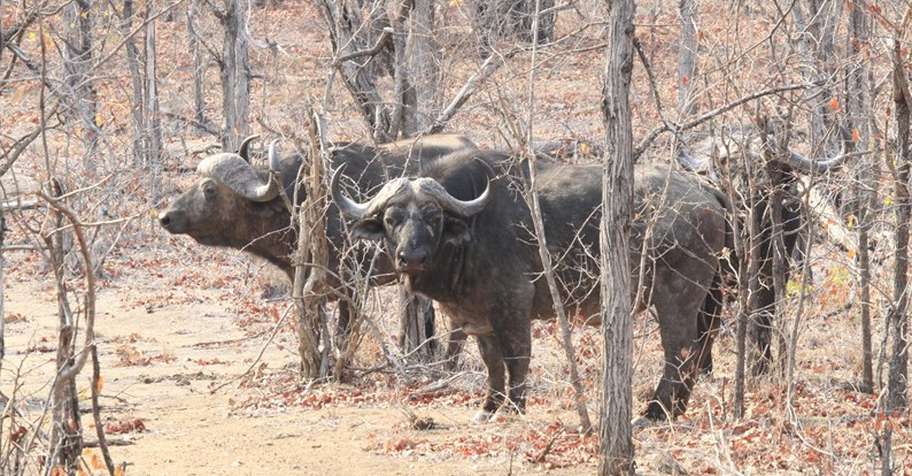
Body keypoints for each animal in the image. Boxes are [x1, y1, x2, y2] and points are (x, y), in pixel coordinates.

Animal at [332, 149, 729, 421]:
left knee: (681, 350)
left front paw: (515, 407)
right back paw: (672, 410)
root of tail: (703, 190)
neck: (471, 231)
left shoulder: (514, 304)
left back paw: (655, 412)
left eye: (432, 217)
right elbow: (492, 362)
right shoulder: (480, 317)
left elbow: (517, 356)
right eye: (391, 219)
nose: (411, 256)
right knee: (698, 348)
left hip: (676, 295)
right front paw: (489, 407)